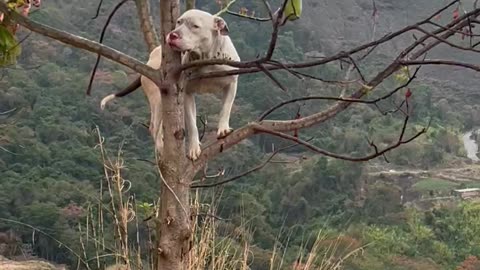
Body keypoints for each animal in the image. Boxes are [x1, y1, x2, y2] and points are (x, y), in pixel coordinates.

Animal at [100, 8, 239, 160]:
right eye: (178, 22)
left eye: (195, 26)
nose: (173, 35)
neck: (205, 59)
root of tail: (149, 60)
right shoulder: (186, 92)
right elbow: (192, 124)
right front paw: (193, 147)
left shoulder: (231, 84)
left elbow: (226, 108)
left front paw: (223, 129)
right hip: (158, 96)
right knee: (154, 126)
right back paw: (160, 146)